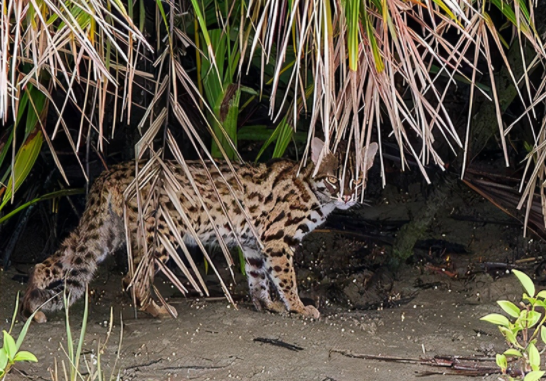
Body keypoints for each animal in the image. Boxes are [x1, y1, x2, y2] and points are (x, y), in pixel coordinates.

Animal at [23, 137, 376, 320]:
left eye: (358, 179)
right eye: (334, 180)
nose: (348, 196)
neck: (313, 191)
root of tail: (111, 171)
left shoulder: (254, 243)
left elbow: (258, 278)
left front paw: (266, 304)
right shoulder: (276, 241)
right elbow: (286, 279)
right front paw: (299, 307)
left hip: (105, 234)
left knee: (47, 265)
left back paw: (31, 307)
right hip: (161, 235)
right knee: (131, 281)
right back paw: (157, 309)